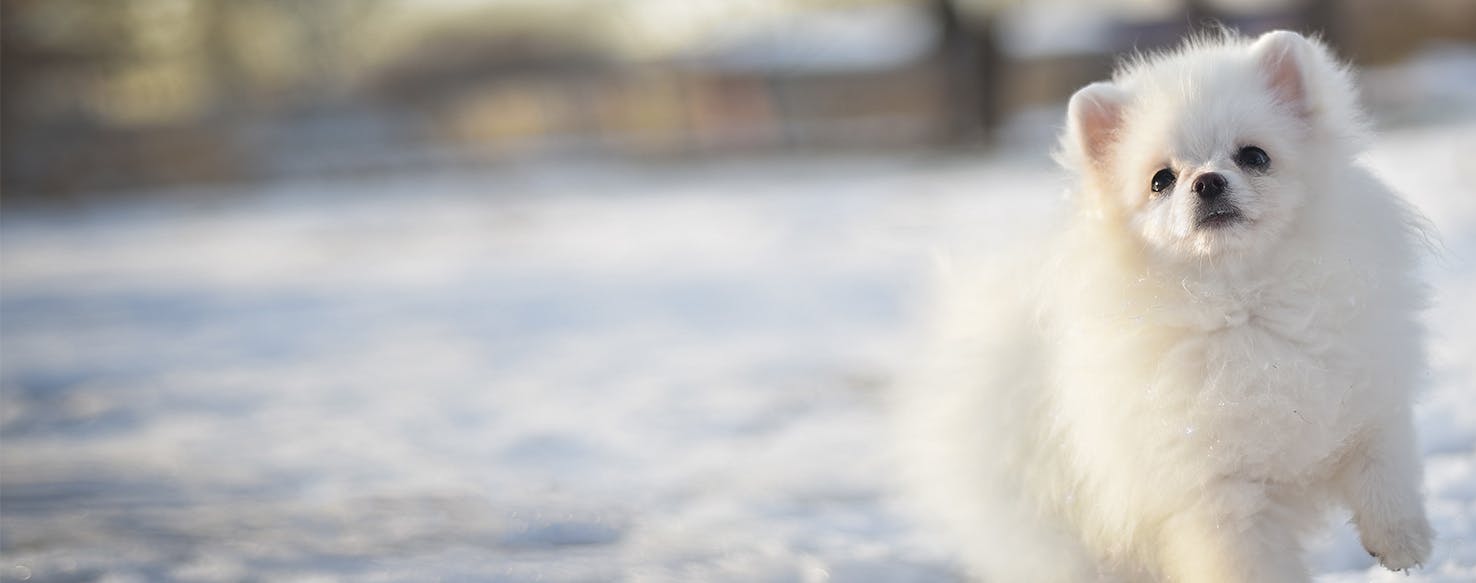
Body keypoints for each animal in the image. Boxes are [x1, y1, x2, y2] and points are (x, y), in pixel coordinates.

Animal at [891, 31, 1434, 583]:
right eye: (1161, 180)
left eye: (1254, 156)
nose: (1208, 181)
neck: (1244, 303)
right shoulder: (1216, 492)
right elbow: (1247, 563)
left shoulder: (1368, 408)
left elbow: (1384, 477)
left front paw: (1404, 549)